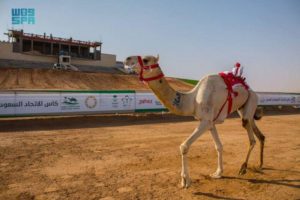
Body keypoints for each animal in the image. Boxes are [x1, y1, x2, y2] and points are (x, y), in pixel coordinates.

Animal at [124, 55, 264, 188]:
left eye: (146, 60)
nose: (126, 59)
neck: (192, 100)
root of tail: (250, 90)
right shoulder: (210, 122)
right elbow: (218, 146)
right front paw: (218, 173)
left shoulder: (205, 121)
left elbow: (184, 146)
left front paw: (185, 180)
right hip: (244, 108)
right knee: (259, 133)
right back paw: (261, 164)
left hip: (251, 101)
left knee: (251, 136)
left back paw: (244, 167)